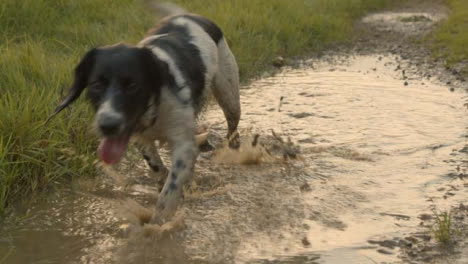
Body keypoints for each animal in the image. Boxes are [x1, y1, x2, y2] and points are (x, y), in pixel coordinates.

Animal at [51, 12, 241, 221]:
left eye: (133, 85)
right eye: (96, 85)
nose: (108, 125)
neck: (153, 108)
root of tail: (189, 15)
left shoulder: (183, 142)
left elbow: (170, 188)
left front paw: (159, 223)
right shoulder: (141, 139)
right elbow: (158, 168)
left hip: (229, 97)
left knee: (233, 129)